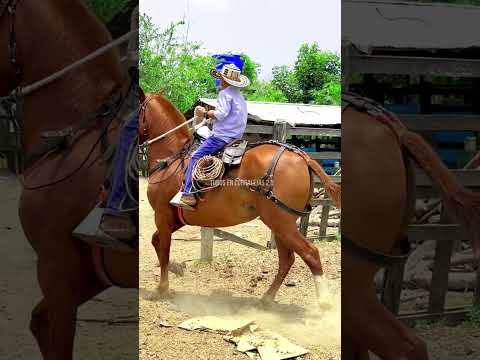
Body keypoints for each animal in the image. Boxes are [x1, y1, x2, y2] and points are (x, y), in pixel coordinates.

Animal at [140, 92, 342, 304]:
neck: (171, 158)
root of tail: (303, 157)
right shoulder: (177, 218)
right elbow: (156, 241)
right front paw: (176, 269)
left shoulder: (162, 215)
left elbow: (163, 248)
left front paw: (161, 288)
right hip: (281, 225)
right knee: (287, 259)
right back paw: (267, 298)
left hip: (281, 223)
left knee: (310, 253)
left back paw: (324, 302)